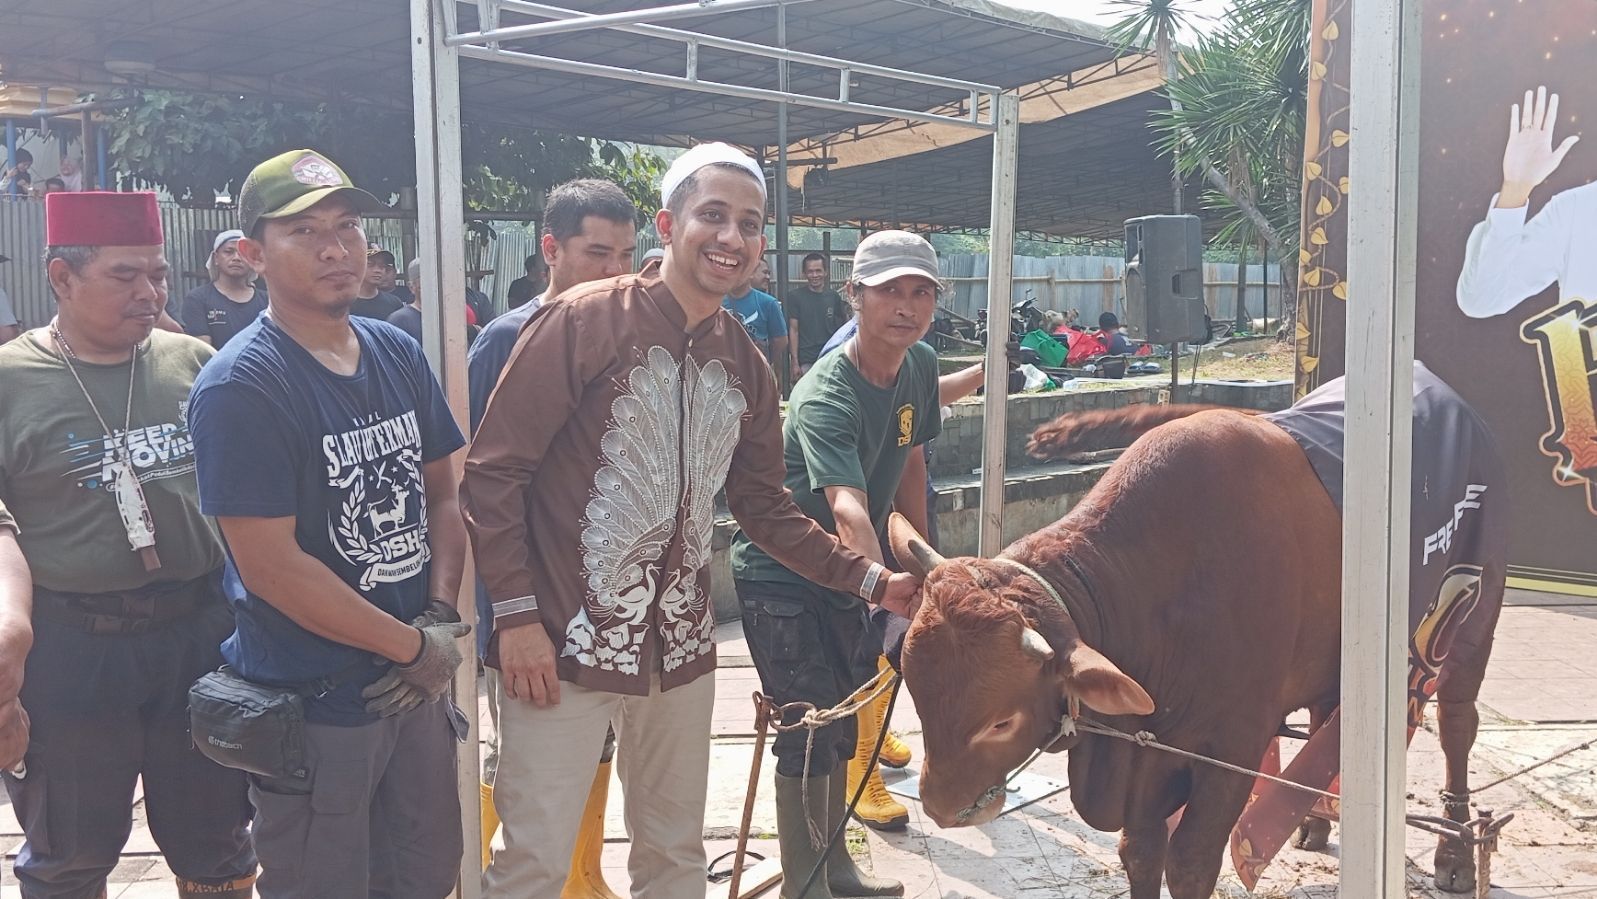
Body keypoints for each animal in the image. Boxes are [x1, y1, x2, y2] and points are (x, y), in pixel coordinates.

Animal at [889, 364, 1505, 899]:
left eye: (1001, 721)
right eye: (915, 691)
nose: (938, 803)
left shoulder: (1232, 748)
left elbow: (1189, 863)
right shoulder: (1146, 760)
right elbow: (1140, 854)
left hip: (1472, 616)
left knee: (1457, 722)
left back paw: (1454, 851)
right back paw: (1315, 822)